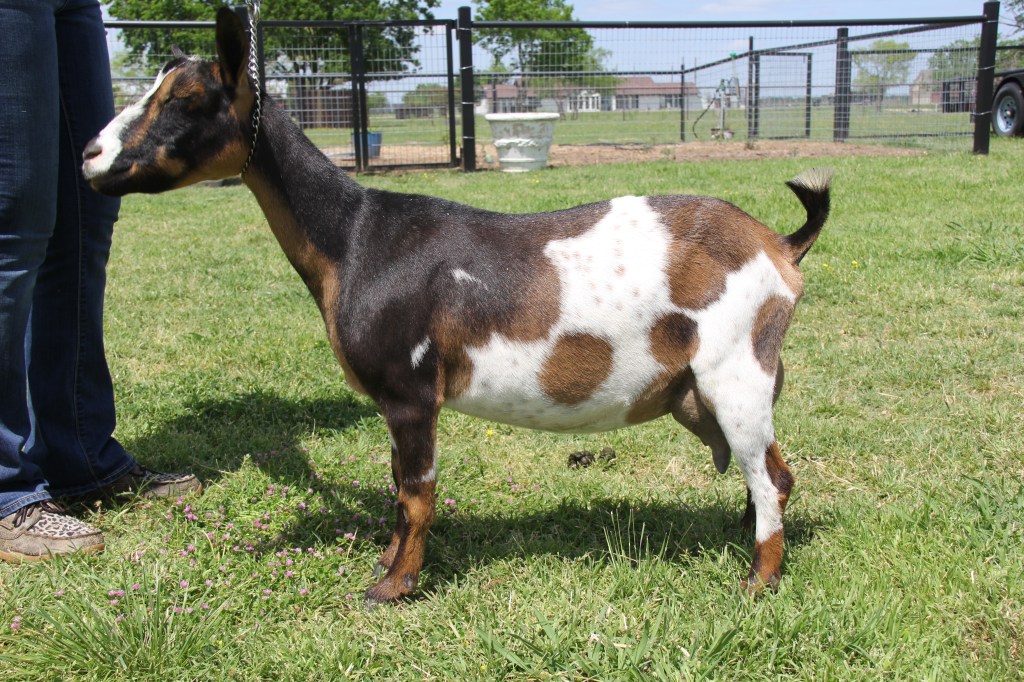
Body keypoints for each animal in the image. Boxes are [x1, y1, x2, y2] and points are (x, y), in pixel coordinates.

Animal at [83, 8, 831, 604]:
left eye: (186, 99)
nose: (89, 154)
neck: (355, 235)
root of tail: (778, 244)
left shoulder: (413, 391)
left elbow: (416, 493)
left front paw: (393, 587)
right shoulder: (395, 401)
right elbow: (395, 486)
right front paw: (386, 564)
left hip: (735, 369)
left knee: (768, 476)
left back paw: (758, 580)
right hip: (696, 392)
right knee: (776, 471)